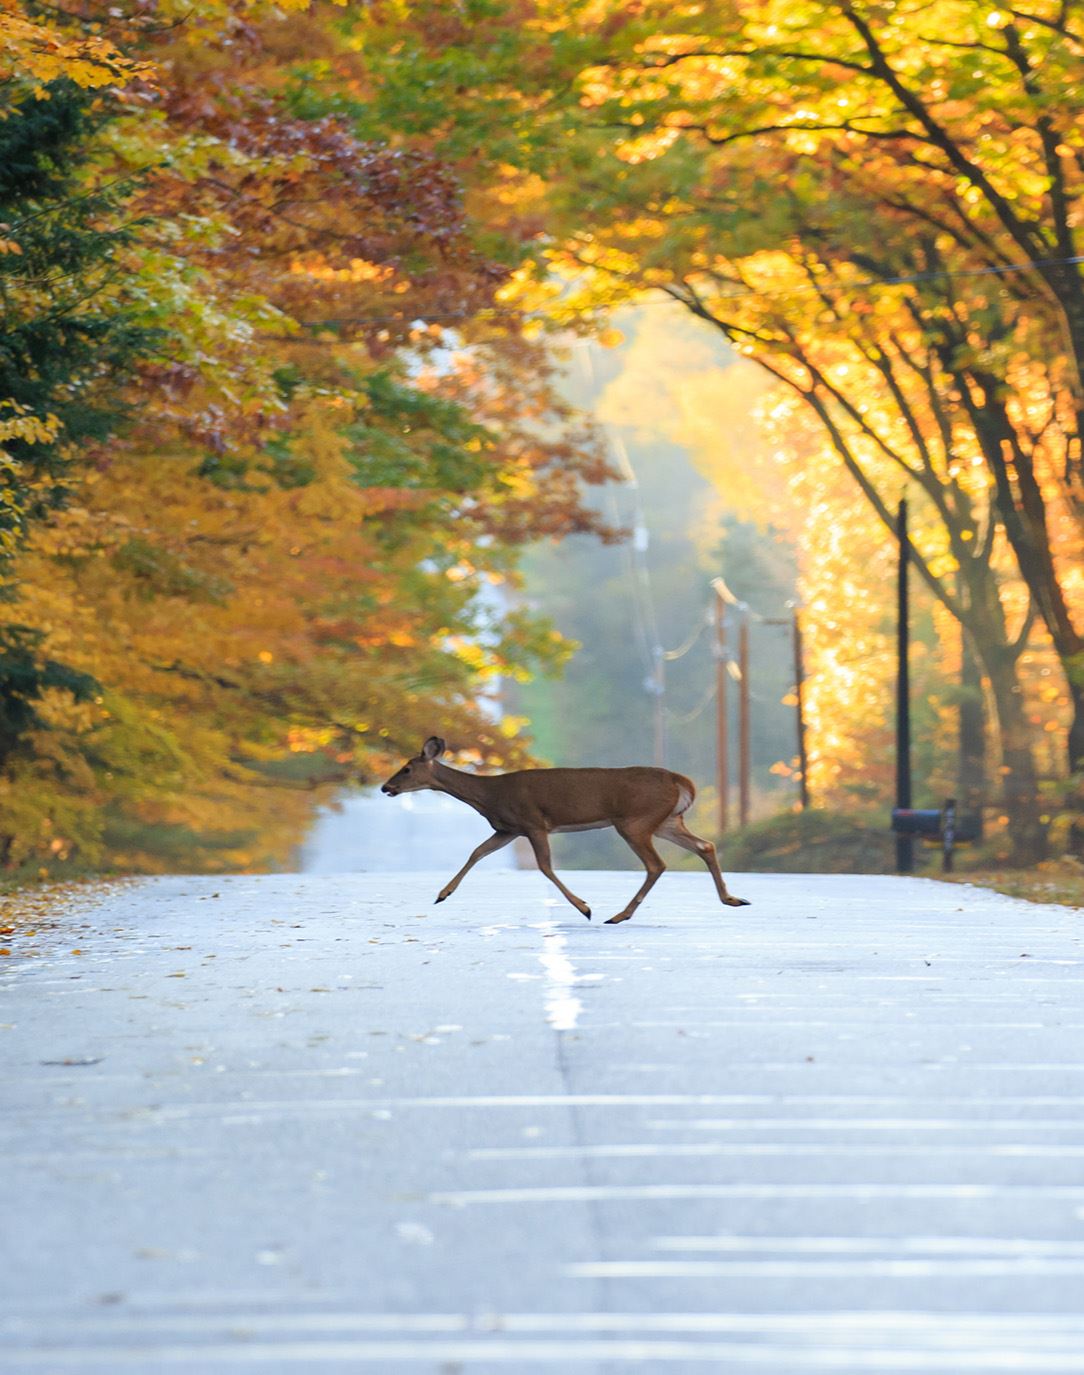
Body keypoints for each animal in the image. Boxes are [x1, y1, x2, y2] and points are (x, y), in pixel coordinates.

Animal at [380, 736, 750, 924]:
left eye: (407, 767)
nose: (386, 787)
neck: (488, 795)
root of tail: (681, 782)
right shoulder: (508, 829)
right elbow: (477, 852)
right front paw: (443, 893)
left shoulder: (532, 822)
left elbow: (544, 866)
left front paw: (584, 907)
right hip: (667, 821)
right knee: (705, 846)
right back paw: (733, 898)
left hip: (635, 820)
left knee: (656, 864)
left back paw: (619, 915)